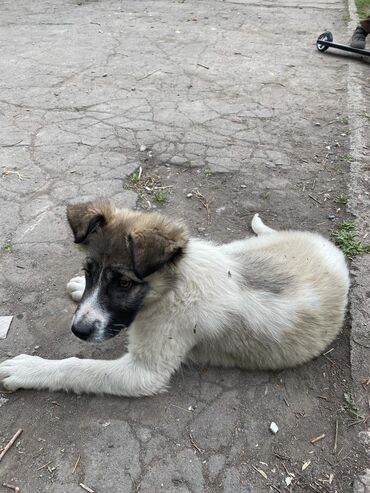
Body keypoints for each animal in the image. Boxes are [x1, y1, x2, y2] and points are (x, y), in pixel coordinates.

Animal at [0, 200, 350, 396]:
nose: (79, 330)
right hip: (236, 249)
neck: (173, 288)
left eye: (124, 283)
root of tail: (333, 252)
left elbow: (78, 368)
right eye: (89, 271)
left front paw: (29, 369)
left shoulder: (144, 373)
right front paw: (77, 285)